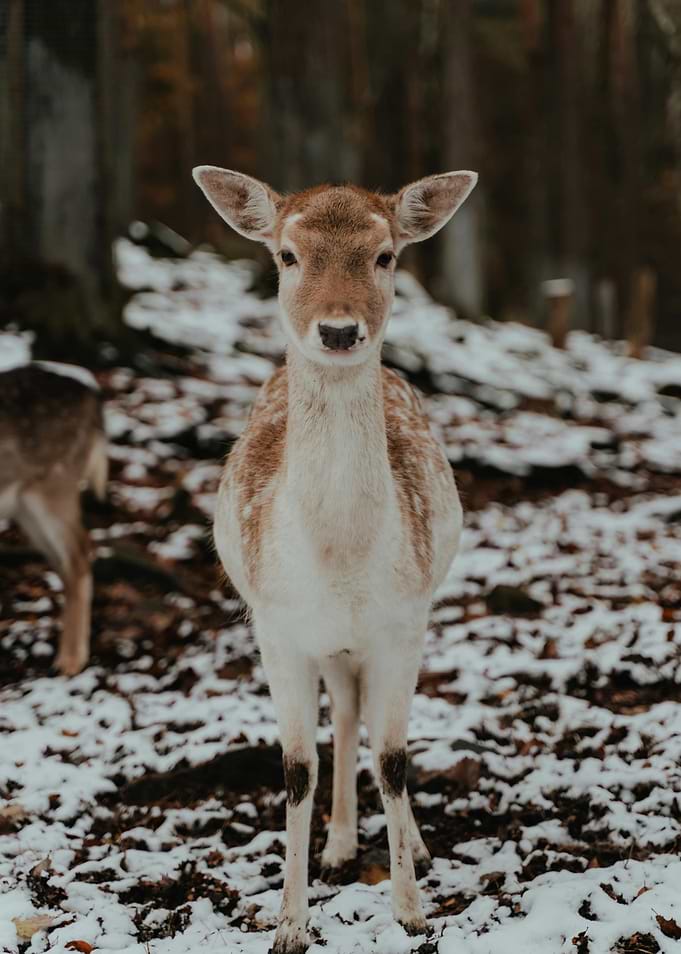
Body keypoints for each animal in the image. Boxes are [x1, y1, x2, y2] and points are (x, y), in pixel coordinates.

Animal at [0, 363, 107, 676]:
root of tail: (93, 399)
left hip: (54, 486)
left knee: (80, 552)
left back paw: (70, 660)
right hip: (25, 507)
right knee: (65, 561)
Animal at [193, 165, 477, 953]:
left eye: (385, 255)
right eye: (287, 256)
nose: (341, 329)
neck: (341, 562)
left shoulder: (402, 623)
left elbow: (395, 757)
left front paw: (411, 910)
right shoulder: (277, 629)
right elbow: (296, 767)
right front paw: (289, 924)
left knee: (366, 725)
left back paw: (407, 846)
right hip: (325, 646)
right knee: (344, 717)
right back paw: (342, 844)